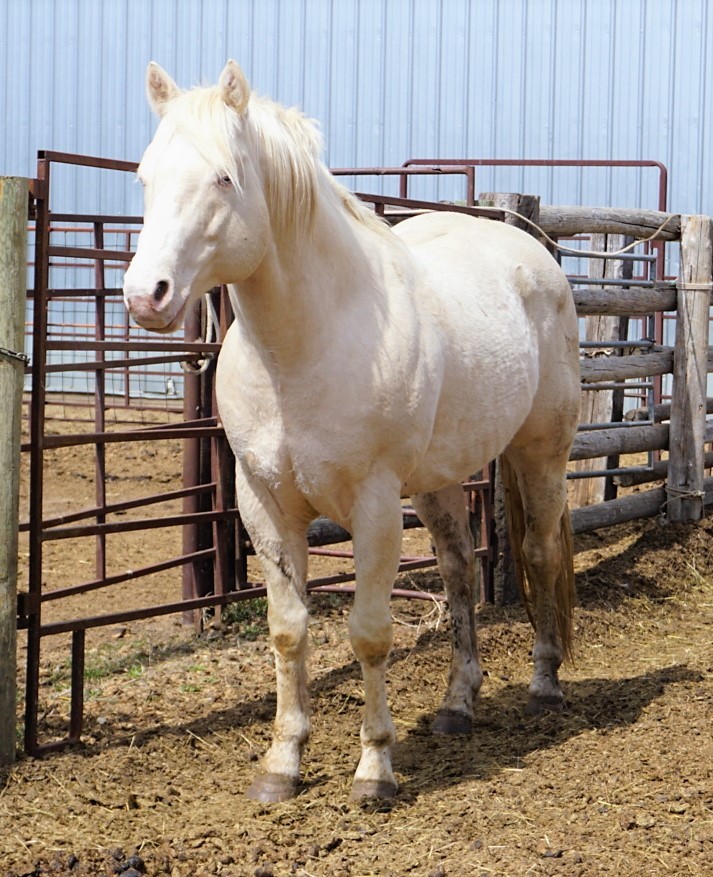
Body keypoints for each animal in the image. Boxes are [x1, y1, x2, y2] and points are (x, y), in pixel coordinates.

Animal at [124, 60, 580, 800]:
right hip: (440, 481)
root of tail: (533, 254)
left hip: (539, 453)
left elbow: (368, 633)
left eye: (224, 177)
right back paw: (457, 706)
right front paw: (282, 763)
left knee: (539, 553)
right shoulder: (263, 504)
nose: (146, 296)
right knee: (458, 572)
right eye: (144, 176)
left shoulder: (373, 504)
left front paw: (374, 769)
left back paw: (544, 685)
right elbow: (288, 632)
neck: (303, 348)